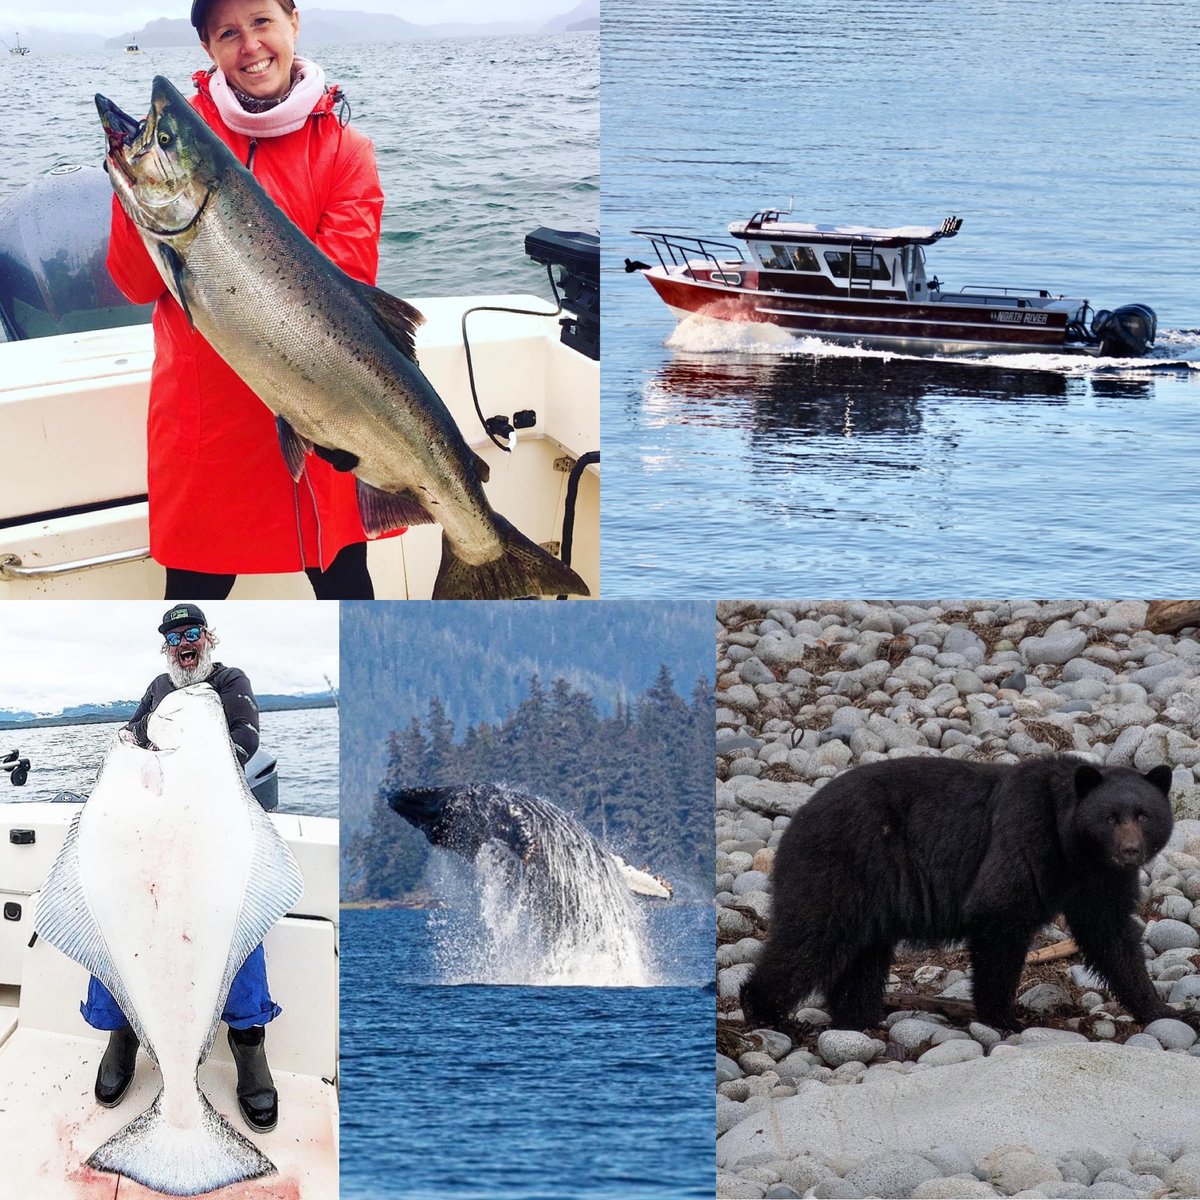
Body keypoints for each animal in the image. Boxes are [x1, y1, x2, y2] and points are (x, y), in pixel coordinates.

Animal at [739, 754, 1187, 1033]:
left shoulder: (1100, 880)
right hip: (840, 868)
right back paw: (767, 1012)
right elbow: (999, 914)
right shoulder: (1025, 838)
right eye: (1110, 817)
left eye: (1144, 815)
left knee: (861, 956)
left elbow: (1112, 937)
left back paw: (859, 1019)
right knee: (810, 940)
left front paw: (1164, 1010)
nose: (1129, 851)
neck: (1074, 851)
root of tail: (793, 823)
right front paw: (1003, 1016)